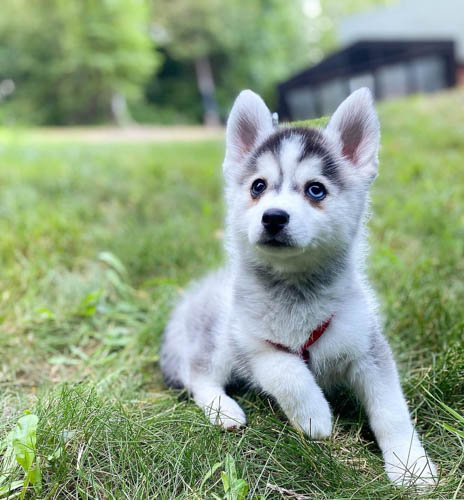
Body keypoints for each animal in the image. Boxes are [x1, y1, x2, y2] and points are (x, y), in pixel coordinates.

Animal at [161, 89, 436, 484]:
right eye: (258, 186)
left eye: (315, 190)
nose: (273, 217)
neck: (297, 292)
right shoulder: (252, 342)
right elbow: (287, 371)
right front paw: (314, 416)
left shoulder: (368, 348)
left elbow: (392, 411)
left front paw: (411, 466)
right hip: (217, 343)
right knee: (198, 376)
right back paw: (225, 410)